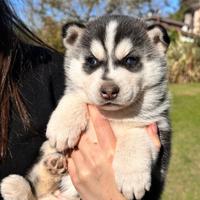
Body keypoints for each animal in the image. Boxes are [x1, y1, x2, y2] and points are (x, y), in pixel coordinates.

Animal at [0, 15, 171, 200]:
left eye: (130, 60)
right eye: (92, 61)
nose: (108, 91)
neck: (113, 116)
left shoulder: (159, 127)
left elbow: (136, 134)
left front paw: (132, 178)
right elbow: (76, 95)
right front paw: (62, 126)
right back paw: (24, 183)